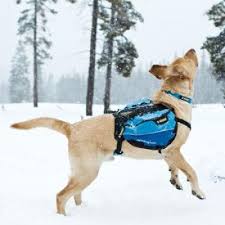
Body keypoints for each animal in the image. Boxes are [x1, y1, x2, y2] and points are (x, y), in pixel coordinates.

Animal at [11, 48, 206, 214]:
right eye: (186, 57)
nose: (192, 49)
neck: (174, 99)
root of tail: (72, 127)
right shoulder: (174, 151)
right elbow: (192, 171)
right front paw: (198, 191)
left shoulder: (167, 152)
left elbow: (174, 168)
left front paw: (176, 180)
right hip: (87, 171)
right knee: (61, 196)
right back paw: (64, 217)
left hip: (82, 172)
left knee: (75, 195)